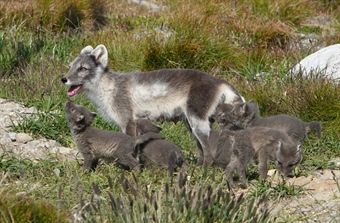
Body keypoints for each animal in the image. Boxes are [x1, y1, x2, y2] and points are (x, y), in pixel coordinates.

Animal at [61, 44, 244, 166]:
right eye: (70, 66)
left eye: (83, 68)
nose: (64, 79)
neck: (108, 87)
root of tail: (218, 81)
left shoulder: (128, 121)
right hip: (191, 124)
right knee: (201, 149)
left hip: (197, 121)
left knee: (208, 152)